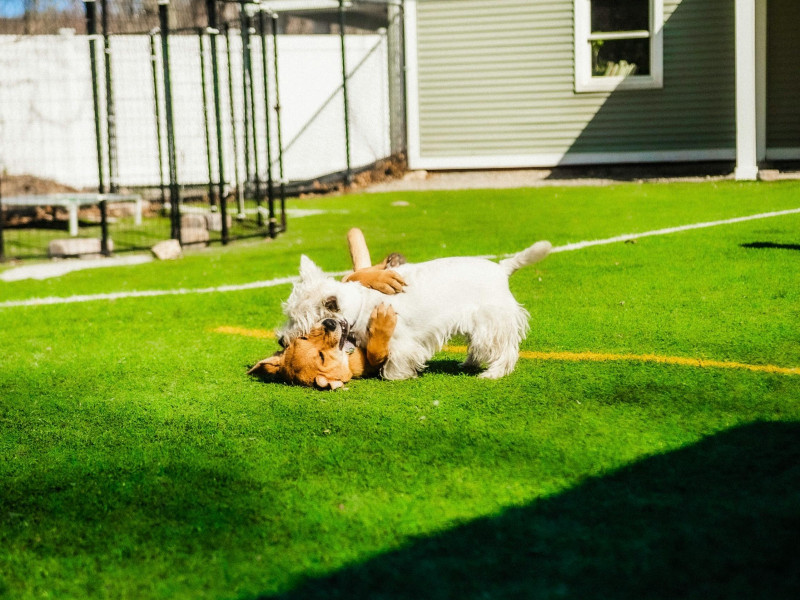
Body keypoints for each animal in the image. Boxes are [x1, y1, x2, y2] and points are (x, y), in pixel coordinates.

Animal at [280, 239, 552, 380]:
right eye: (288, 315)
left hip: (491, 323)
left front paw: (398, 374)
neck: (360, 305)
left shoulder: (402, 342)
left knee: (505, 349)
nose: (281, 340)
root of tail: (502, 268)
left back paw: (493, 373)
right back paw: (468, 364)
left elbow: (393, 365)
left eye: (301, 323)